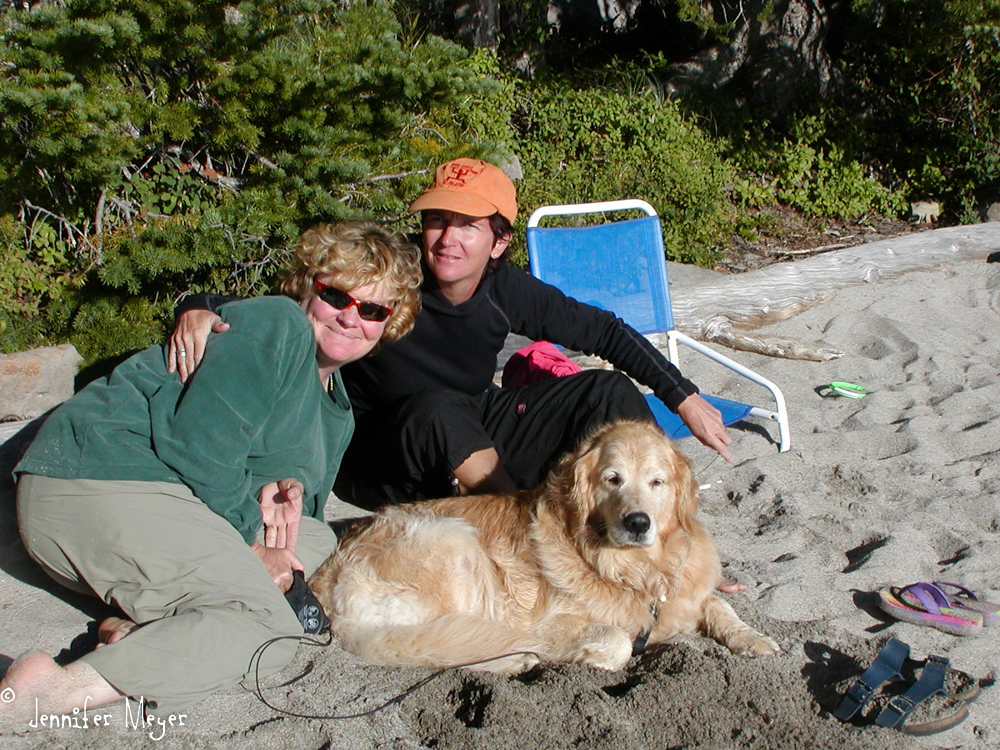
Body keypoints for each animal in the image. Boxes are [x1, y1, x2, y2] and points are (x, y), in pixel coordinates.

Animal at [308, 420, 776, 672]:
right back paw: (514, 659)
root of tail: (325, 579)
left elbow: (719, 604)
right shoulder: (551, 622)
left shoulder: (685, 593)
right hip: (453, 542)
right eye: (613, 479)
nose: (638, 522)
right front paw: (592, 657)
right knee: (440, 647)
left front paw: (754, 639)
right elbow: (617, 640)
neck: (634, 570)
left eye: (657, 482)